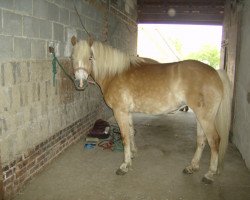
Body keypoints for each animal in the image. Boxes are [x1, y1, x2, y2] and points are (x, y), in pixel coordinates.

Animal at [69, 36, 231, 184]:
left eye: (90, 57)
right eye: (72, 57)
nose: (80, 83)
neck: (114, 74)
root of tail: (215, 73)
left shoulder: (119, 112)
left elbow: (125, 137)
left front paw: (124, 166)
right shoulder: (127, 112)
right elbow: (131, 132)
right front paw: (132, 155)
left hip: (205, 117)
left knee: (214, 140)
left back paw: (209, 174)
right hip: (200, 117)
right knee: (201, 140)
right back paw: (192, 167)